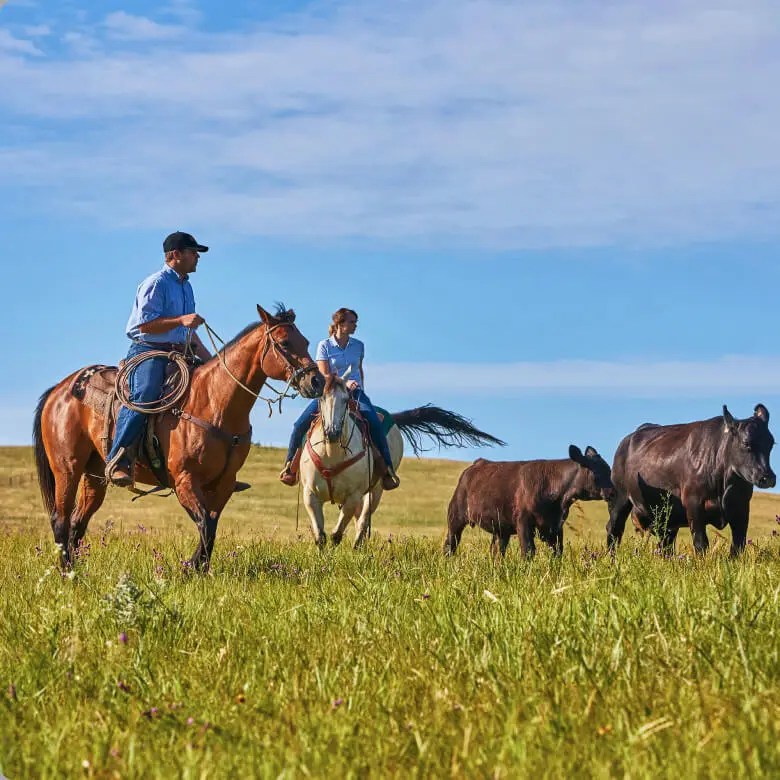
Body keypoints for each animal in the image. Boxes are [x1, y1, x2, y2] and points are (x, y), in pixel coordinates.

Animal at [443, 445, 614, 558]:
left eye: (609, 470)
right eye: (596, 473)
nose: (613, 491)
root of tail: (477, 463)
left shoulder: (556, 526)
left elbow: (557, 552)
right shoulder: (523, 521)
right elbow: (528, 551)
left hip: (501, 528)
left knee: (496, 551)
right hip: (455, 517)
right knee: (450, 544)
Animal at [606, 404, 775, 556]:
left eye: (771, 443)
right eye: (746, 443)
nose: (767, 477)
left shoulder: (741, 506)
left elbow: (738, 545)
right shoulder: (693, 502)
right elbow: (701, 543)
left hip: (666, 516)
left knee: (665, 543)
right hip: (620, 497)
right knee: (614, 528)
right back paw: (611, 558)